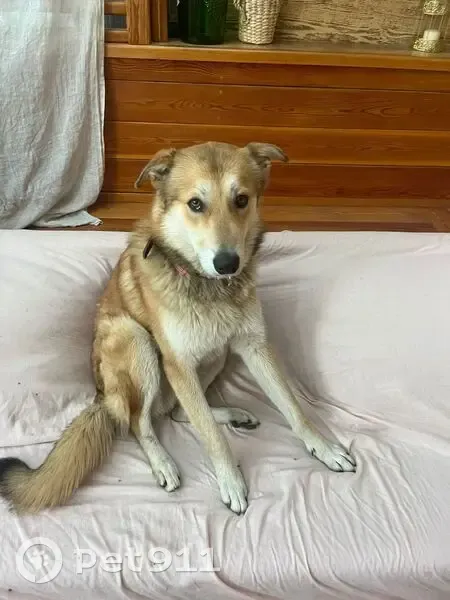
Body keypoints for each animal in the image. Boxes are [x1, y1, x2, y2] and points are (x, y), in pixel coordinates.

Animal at [0, 142, 356, 515]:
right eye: (195, 204)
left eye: (242, 199)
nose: (227, 264)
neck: (208, 286)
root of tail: (101, 396)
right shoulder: (178, 365)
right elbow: (211, 436)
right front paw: (231, 482)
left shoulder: (255, 346)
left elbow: (292, 407)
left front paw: (324, 448)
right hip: (137, 342)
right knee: (139, 422)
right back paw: (163, 463)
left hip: (218, 354)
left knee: (179, 412)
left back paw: (229, 413)